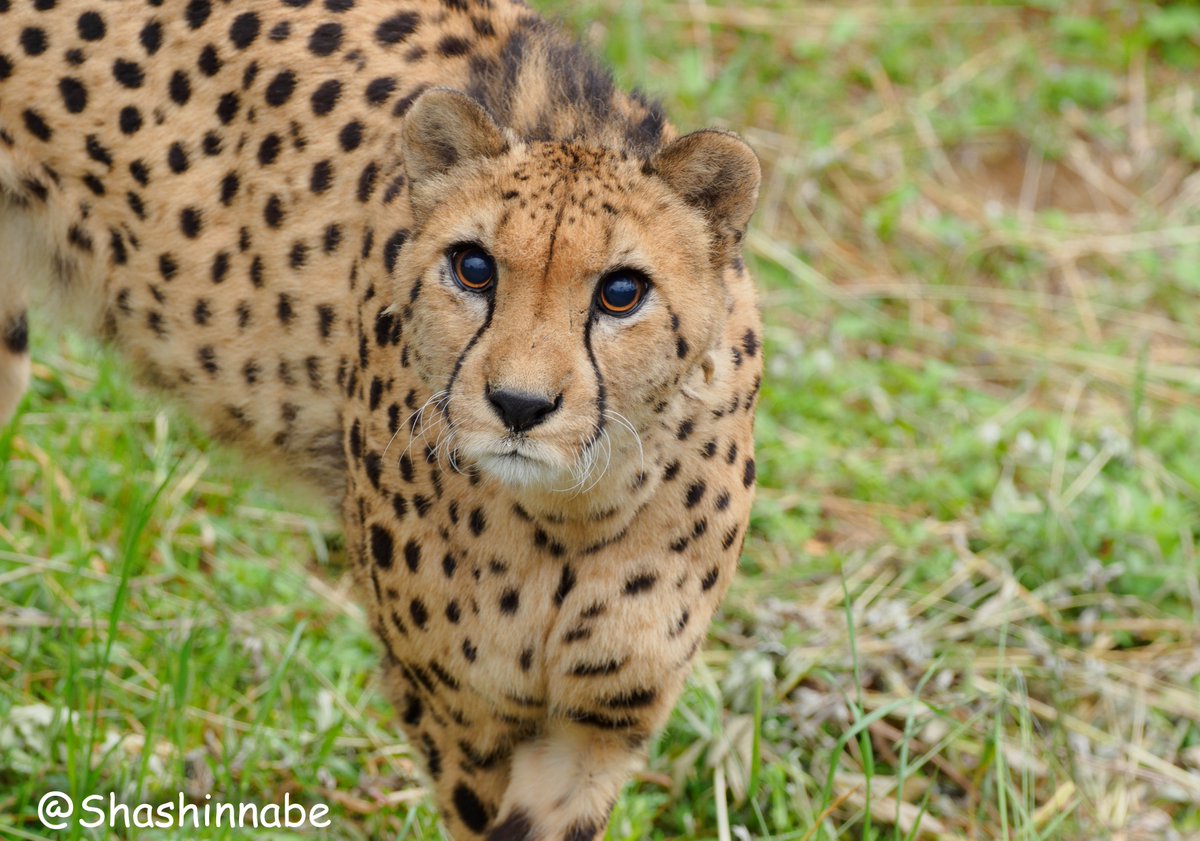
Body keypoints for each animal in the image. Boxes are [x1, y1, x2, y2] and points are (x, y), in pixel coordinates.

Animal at [0, 3, 763, 835]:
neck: (573, 513)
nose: (520, 406)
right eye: (473, 267)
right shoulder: (459, 718)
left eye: (621, 292)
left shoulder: (592, 732)